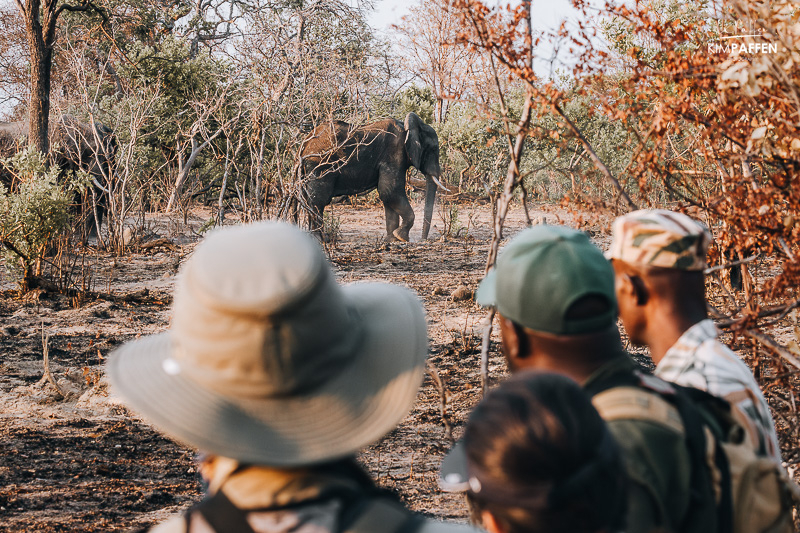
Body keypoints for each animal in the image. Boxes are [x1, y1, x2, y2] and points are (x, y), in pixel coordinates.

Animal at [300, 112, 444, 241]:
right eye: (433, 149)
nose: (423, 240)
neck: (407, 127)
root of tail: (304, 145)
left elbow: (388, 196)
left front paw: (392, 240)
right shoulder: (394, 153)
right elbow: (390, 192)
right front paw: (401, 237)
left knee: (310, 201)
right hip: (319, 166)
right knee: (318, 202)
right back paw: (320, 239)